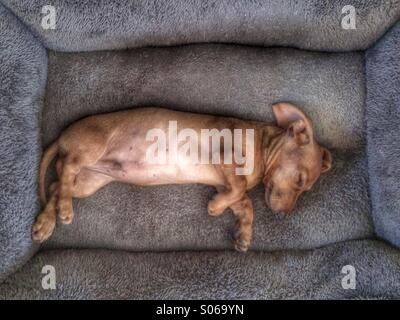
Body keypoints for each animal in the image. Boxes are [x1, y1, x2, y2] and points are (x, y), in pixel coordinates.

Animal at [32, 102, 332, 252]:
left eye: (305, 189)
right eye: (300, 181)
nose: (283, 216)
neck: (261, 145)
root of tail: (61, 137)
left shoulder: (222, 182)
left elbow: (244, 203)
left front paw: (244, 234)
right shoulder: (224, 156)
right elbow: (239, 187)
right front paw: (215, 208)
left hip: (89, 181)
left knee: (57, 184)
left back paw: (47, 221)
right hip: (90, 149)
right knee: (66, 169)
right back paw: (63, 210)